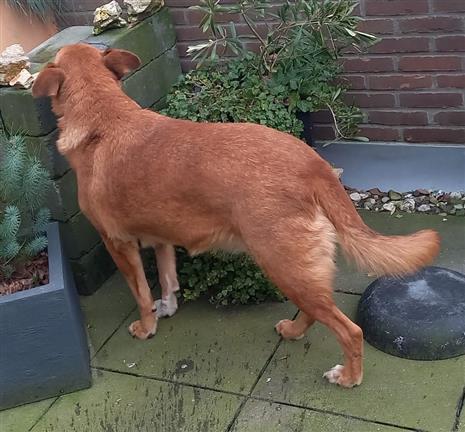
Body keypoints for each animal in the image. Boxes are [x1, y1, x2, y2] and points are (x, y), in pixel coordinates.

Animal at [32, 44, 440, 388]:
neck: (104, 115)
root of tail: (311, 163)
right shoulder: (163, 238)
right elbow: (166, 279)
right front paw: (168, 307)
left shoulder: (118, 244)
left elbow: (142, 292)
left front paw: (147, 326)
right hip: (297, 269)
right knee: (314, 310)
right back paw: (294, 332)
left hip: (282, 264)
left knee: (349, 330)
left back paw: (349, 377)